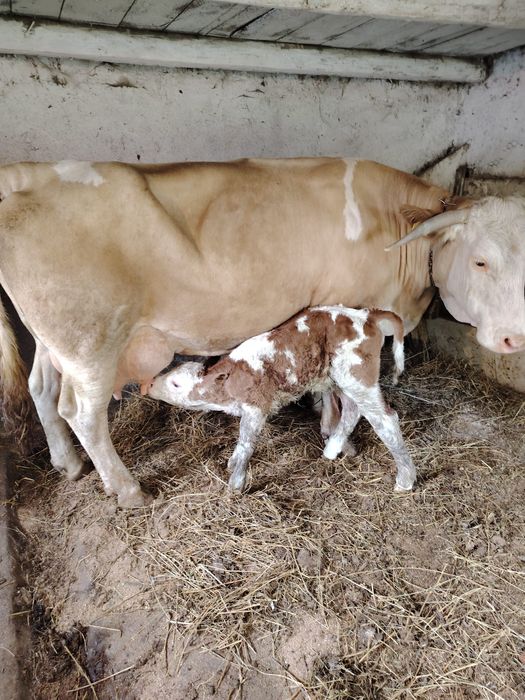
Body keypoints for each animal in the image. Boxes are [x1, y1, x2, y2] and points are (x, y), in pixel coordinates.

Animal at [148, 306, 415, 494]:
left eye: (175, 383)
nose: (149, 384)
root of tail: (366, 314)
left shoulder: (256, 407)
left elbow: (246, 444)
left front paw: (235, 484)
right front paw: (232, 464)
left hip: (358, 376)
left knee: (385, 419)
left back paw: (405, 480)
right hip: (342, 379)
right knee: (352, 410)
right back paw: (332, 449)